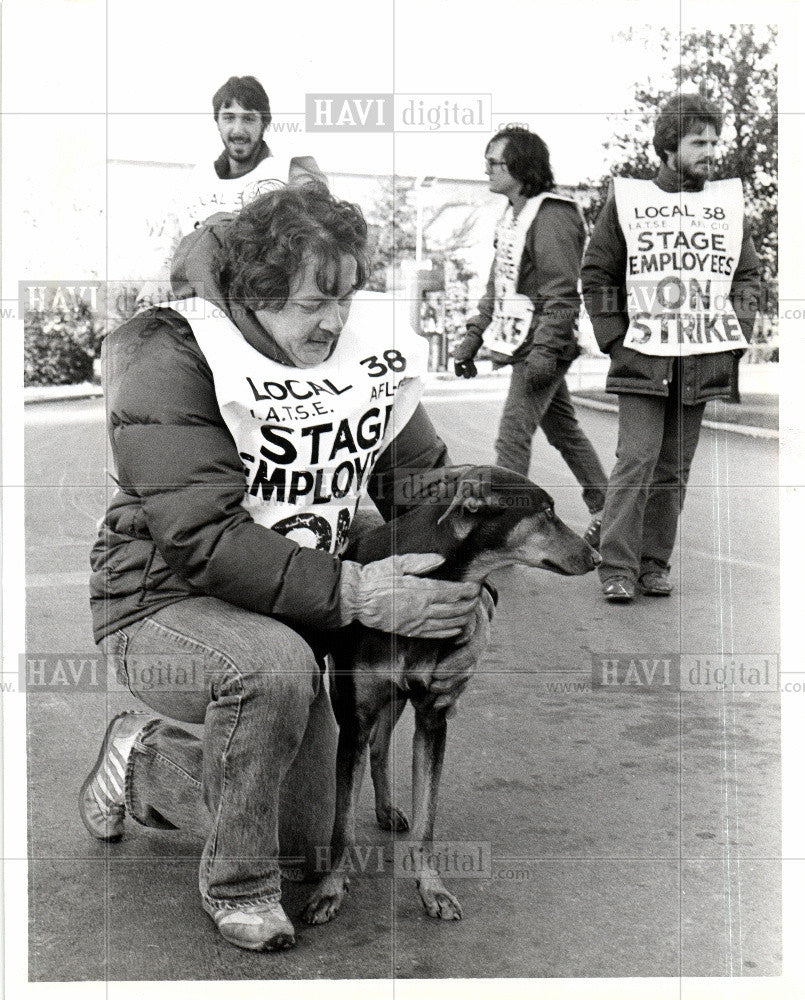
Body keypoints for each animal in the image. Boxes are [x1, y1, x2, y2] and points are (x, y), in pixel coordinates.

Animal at [302, 464, 596, 924]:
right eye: (546, 512)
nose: (597, 558)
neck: (435, 576)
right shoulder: (353, 720)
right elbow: (341, 825)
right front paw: (330, 890)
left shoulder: (433, 716)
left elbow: (427, 822)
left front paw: (432, 889)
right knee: (375, 746)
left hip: (397, 700)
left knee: (381, 747)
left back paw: (386, 810)